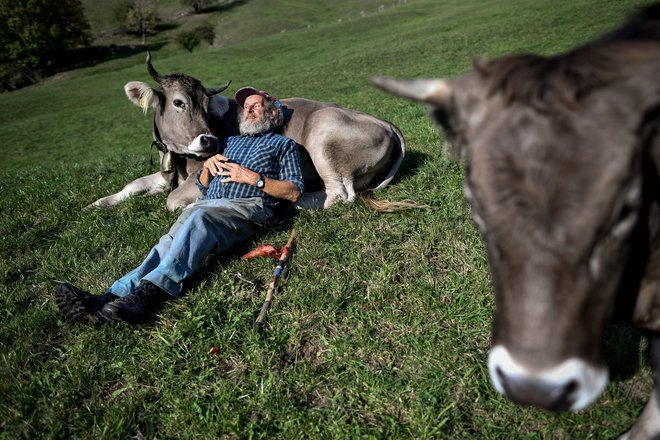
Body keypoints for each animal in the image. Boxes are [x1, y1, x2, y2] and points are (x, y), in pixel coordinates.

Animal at [89, 53, 404, 211]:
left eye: (207, 105)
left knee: (339, 194)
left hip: (323, 135)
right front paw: (97, 203)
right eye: (178, 102)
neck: (179, 161)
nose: (209, 141)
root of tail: (387, 123)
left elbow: (172, 201)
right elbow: (134, 185)